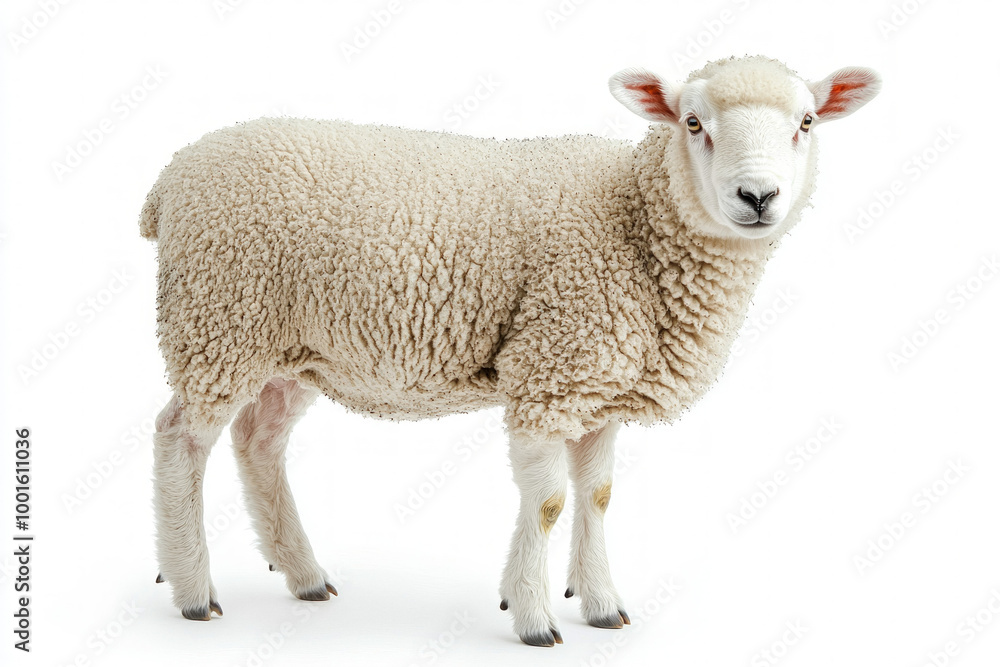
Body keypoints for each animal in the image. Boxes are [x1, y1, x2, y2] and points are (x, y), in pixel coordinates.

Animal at [140, 55, 881, 646]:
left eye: (806, 122)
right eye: (693, 122)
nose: (757, 196)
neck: (635, 220)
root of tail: (172, 176)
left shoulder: (599, 386)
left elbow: (599, 494)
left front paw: (600, 602)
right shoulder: (548, 370)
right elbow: (549, 501)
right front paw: (532, 615)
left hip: (289, 348)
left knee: (259, 442)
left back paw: (303, 574)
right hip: (220, 319)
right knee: (180, 439)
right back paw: (193, 590)